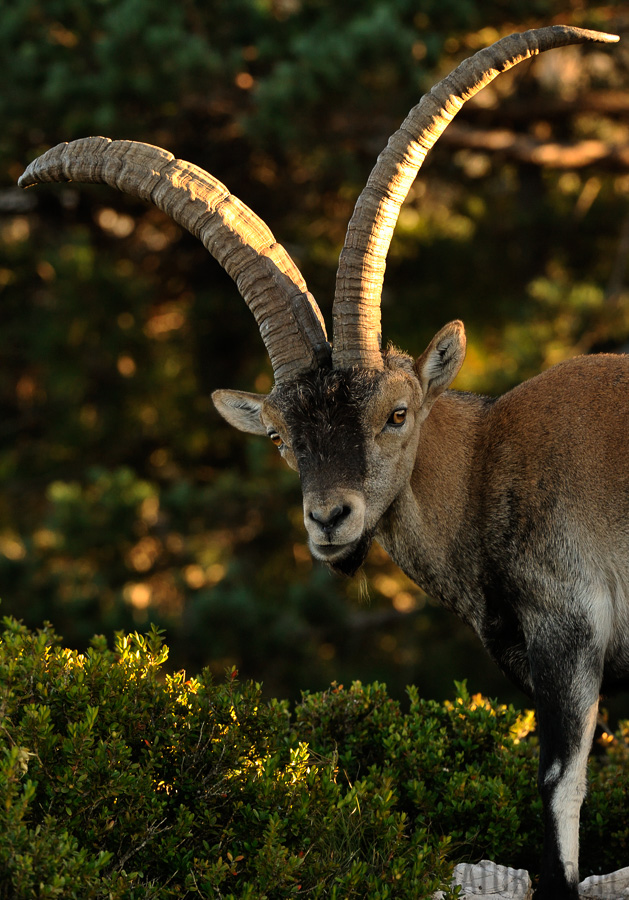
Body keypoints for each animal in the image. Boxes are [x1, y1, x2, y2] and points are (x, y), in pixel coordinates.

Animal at [19, 24, 624, 896]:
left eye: (396, 413)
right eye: (280, 438)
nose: (329, 519)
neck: (490, 463)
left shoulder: (569, 630)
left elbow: (559, 786)